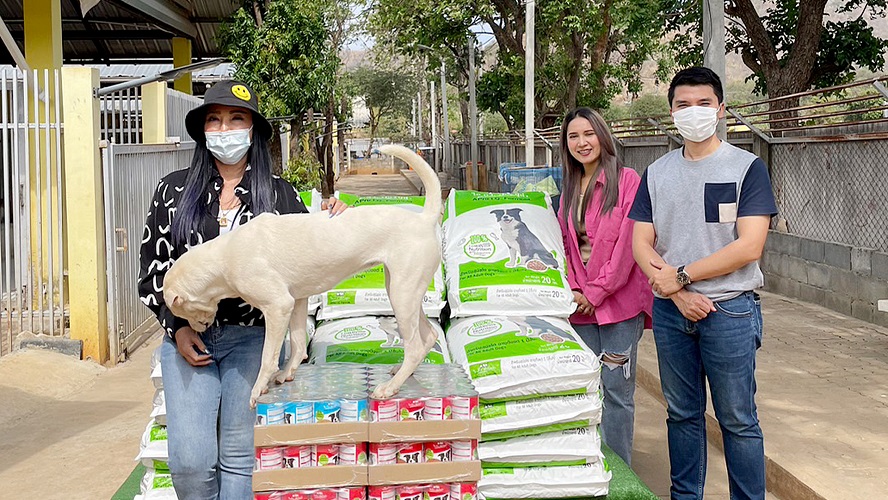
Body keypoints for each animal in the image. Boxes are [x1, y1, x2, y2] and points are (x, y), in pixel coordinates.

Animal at [163, 145, 440, 406]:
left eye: (183, 311)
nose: (199, 330)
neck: (222, 257)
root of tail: (424, 220)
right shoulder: (296, 302)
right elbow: (297, 344)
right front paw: (288, 374)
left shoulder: (277, 306)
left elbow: (267, 358)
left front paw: (257, 389)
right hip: (402, 292)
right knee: (429, 336)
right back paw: (400, 372)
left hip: (402, 295)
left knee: (415, 346)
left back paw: (390, 387)